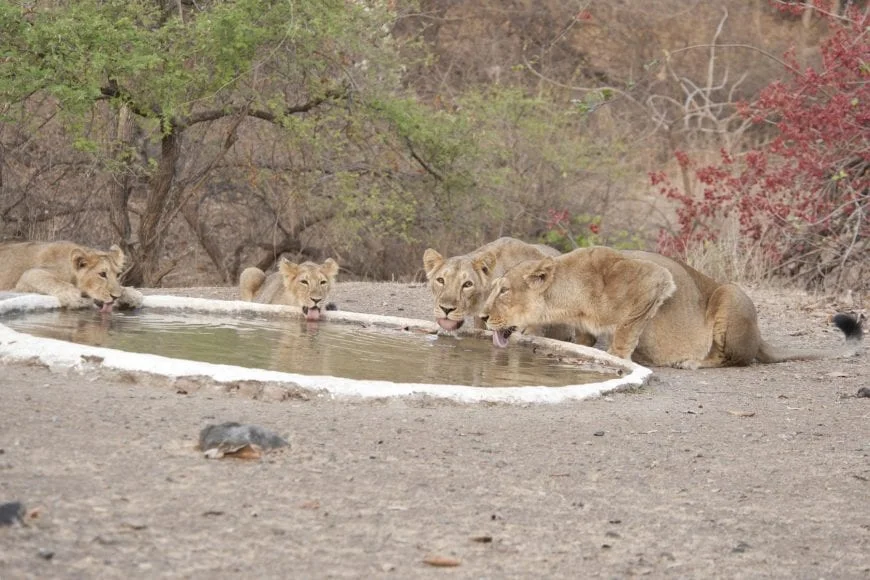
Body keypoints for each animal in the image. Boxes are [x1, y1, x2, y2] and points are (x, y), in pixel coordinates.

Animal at [0, 241, 143, 312]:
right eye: (102, 274)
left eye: (118, 274)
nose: (115, 297)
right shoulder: (28, 275)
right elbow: (52, 280)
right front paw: (74, 297)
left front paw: (131, 295)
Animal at [479, 246, 864, 368]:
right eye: (492, 289)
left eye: (504, 291)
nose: (481, 316)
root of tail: (761, 336)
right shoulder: (584, 324)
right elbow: (585, 339)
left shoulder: (653, 279)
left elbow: (627, 327)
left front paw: (617, 356)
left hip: (730, 294)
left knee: (732, 358)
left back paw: (692, 362)